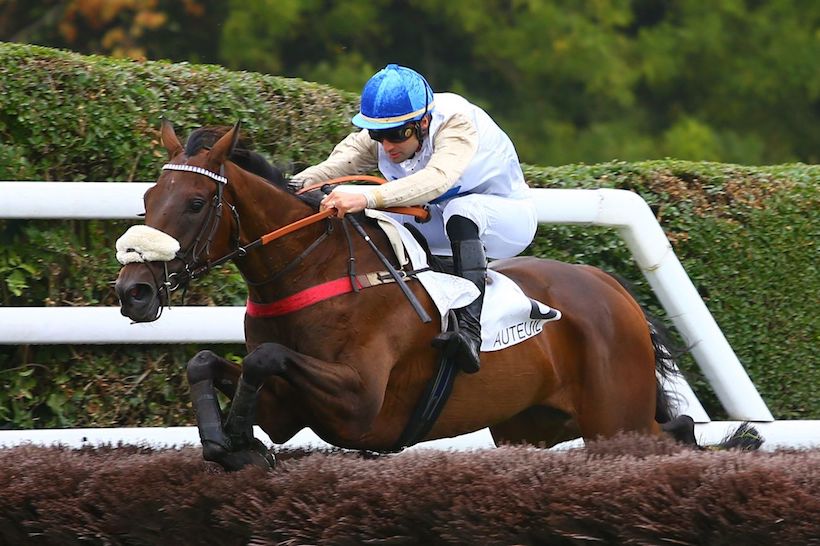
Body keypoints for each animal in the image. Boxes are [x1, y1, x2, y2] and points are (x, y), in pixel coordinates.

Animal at [115, 120, 708, 471]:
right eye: (148, 197)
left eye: (195, 203)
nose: (133, 291)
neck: (315, 271)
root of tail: (608, 286)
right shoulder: (288, 407)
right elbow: (205, 361)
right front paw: (226, 442)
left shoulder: (359, 402)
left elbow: (266, 357)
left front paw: (238, 435)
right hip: (531, 427)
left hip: (615, 421)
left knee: (671, 432)